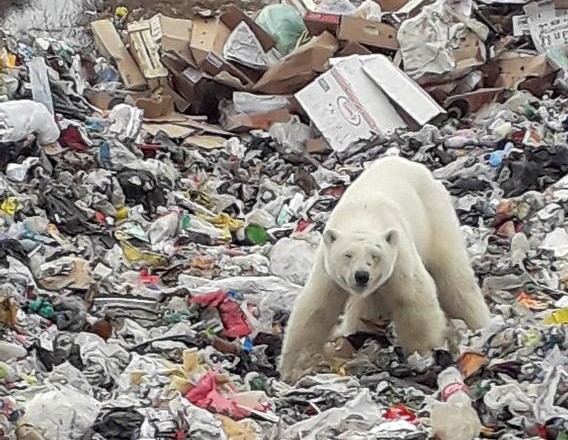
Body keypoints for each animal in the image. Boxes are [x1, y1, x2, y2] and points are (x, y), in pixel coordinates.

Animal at [278, 157, 490, 382]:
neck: (363, 215)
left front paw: (423, 354)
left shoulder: (399, 254)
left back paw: (478, 325)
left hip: (434, 216)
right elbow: (316, 307)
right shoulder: (326, 267)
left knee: (453, 276)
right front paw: (293, 368)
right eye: (347, 255)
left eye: (375, 256)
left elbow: (414, 298)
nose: (362, 276)